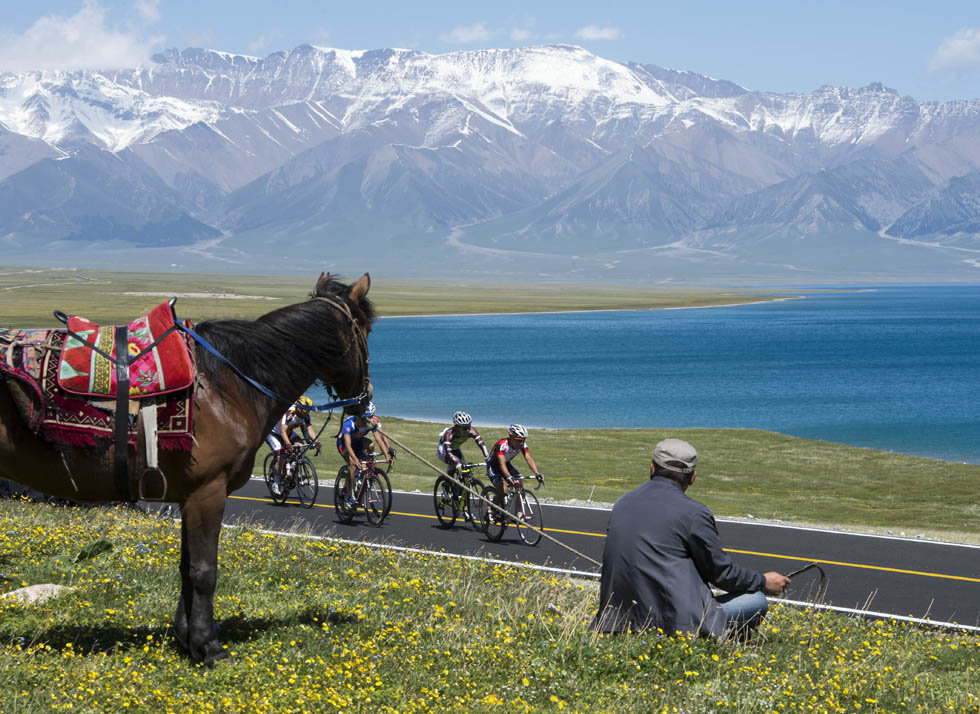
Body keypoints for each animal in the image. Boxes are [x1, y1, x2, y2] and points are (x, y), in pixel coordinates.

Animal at [0, 272, 376, 660]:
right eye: (366, 328)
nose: (363, 402)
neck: (229, 385)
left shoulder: (188, 496)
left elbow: (185, 567)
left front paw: (185, 637)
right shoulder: (208, 492)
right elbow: (204, 570)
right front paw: (208, 645)